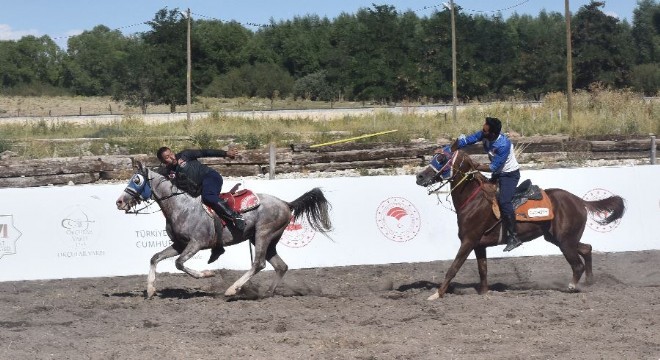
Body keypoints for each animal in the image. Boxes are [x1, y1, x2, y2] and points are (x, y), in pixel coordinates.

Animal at [115, 163, 332, 298]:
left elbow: (179, 263)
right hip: (266, 239)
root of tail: (287, 203)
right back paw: (267, 293)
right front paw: (151, 290)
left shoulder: (196, 244)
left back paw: (232, 290)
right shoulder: (179, 244)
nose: (119, 202)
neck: (181, 206)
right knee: (280, 266)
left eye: (136, 181)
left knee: (259, 264)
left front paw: (207, 274)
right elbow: (155, 258)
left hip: (263, 234)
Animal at [416, 148, 628, 300]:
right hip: (558, 238)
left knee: (577, 264)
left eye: (441, 158)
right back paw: (589, 281)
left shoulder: (468, 241)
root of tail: (578, 200)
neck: (474, 199)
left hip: (565, 241)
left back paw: (573, 285)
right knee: (587, 248)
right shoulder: (478, 245)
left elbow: (453, 268)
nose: (419, 176)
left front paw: (437, 294)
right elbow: (482, 269)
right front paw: (484, 293)